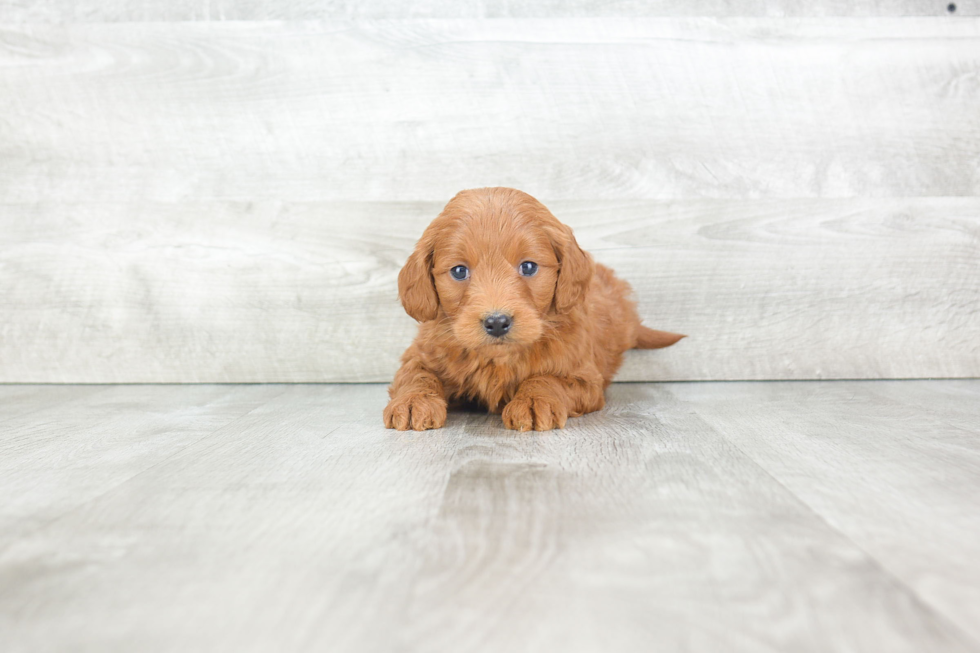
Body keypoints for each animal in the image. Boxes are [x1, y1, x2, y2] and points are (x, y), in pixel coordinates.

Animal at [382, 187, 680, 432]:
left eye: (528, 267)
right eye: (458, 271)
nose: (497, 322)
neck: (498, 360)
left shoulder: (584, 378)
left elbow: (548, 378)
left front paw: (534, 401)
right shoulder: (420, 354)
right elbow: (416, 374)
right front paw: (413, 401)